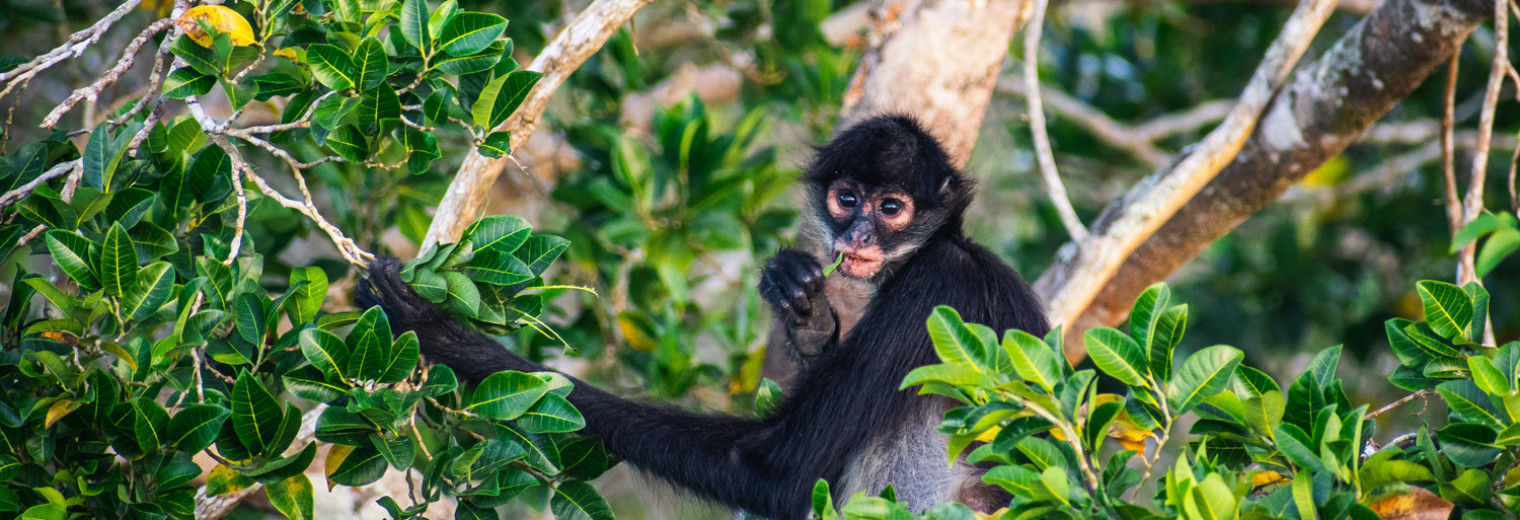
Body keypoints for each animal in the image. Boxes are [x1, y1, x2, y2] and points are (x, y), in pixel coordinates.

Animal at [354, 115, 1045, 516]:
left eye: (892, 207)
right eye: (847, 199)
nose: (859, 235)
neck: (942, 246)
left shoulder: (934, 289)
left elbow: (777, 472)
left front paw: (443, 335)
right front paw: (806, 315)